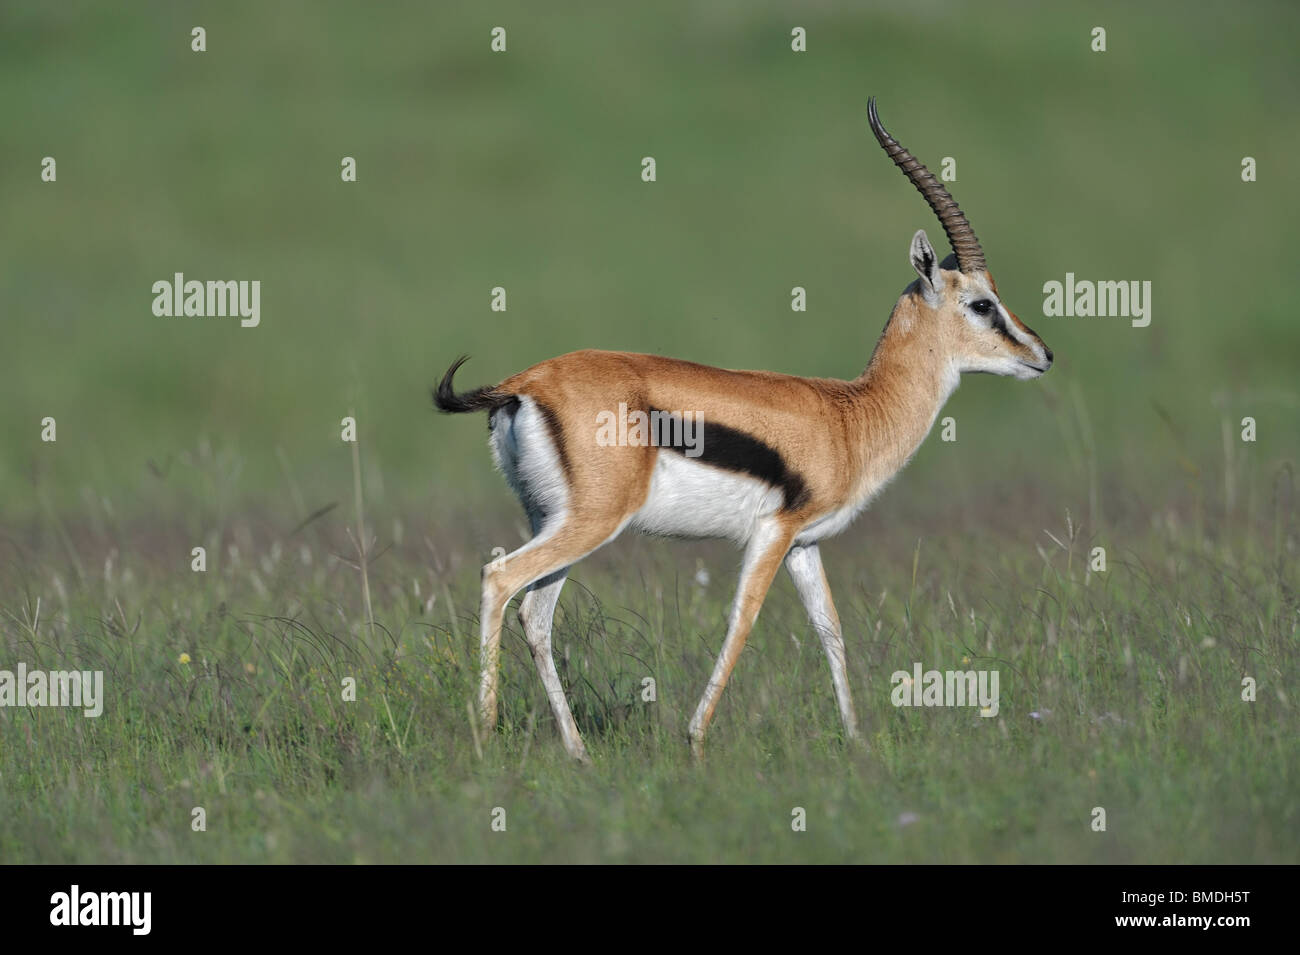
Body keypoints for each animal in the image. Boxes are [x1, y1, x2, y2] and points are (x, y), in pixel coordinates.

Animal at [434, 98, 1052, 762]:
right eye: (982, 303)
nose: (1043, 354)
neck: (850, 415)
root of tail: (523, 383)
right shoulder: (772, 533)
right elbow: (743, 620)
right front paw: (695, 739)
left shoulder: (806, 543)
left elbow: (830, 629)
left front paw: (857, 740)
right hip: (591, 522)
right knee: (499, 579)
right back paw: (486, 735)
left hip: (555, 521)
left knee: (536, 613)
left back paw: (576, 752)